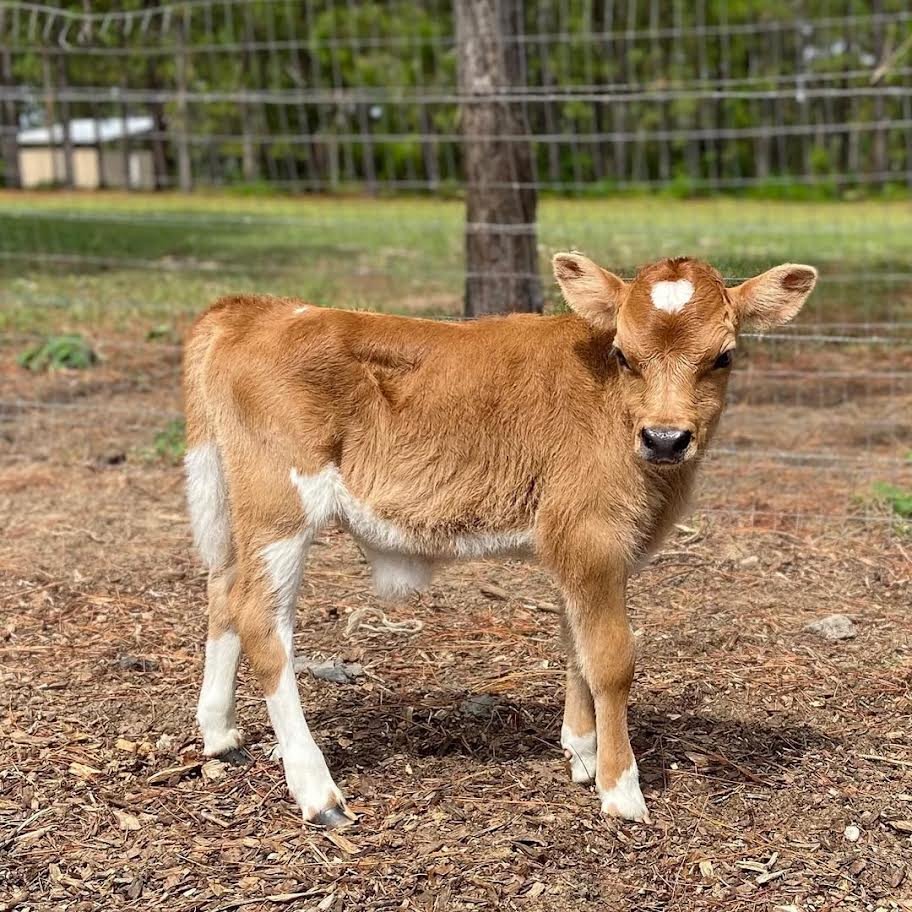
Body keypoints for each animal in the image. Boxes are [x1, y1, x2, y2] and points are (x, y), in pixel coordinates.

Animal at [183, 253, 817, 828]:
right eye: (623, 354)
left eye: (724, 356)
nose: (665, 439)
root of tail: (255, 310)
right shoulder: (594, 535)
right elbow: (610, 659)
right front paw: (619, 788)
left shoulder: (569, 545)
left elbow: (574, 642)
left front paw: (581, 751)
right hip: (280, 510)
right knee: (262, 622)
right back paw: (317, 790)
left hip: (237, 513)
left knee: (222, 593)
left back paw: (221, 733)